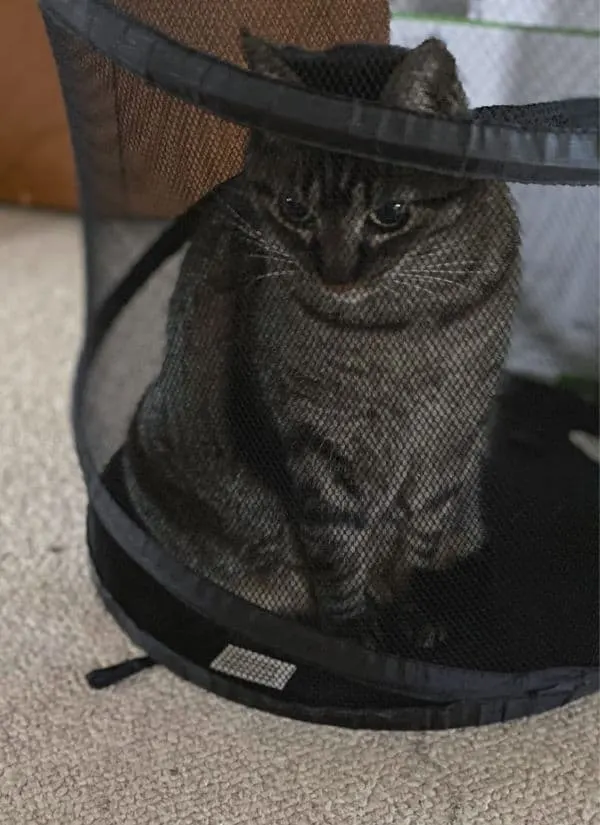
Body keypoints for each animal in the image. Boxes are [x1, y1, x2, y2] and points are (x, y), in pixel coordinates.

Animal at [123, 33, 520, 644]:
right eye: (294, 209)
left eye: (390, 213)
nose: (336, 275)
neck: (398, 327)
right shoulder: (313, 444)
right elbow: (336, 548)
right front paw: (356, 631)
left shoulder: (451, 433)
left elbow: (424, 535)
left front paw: (419, 610)